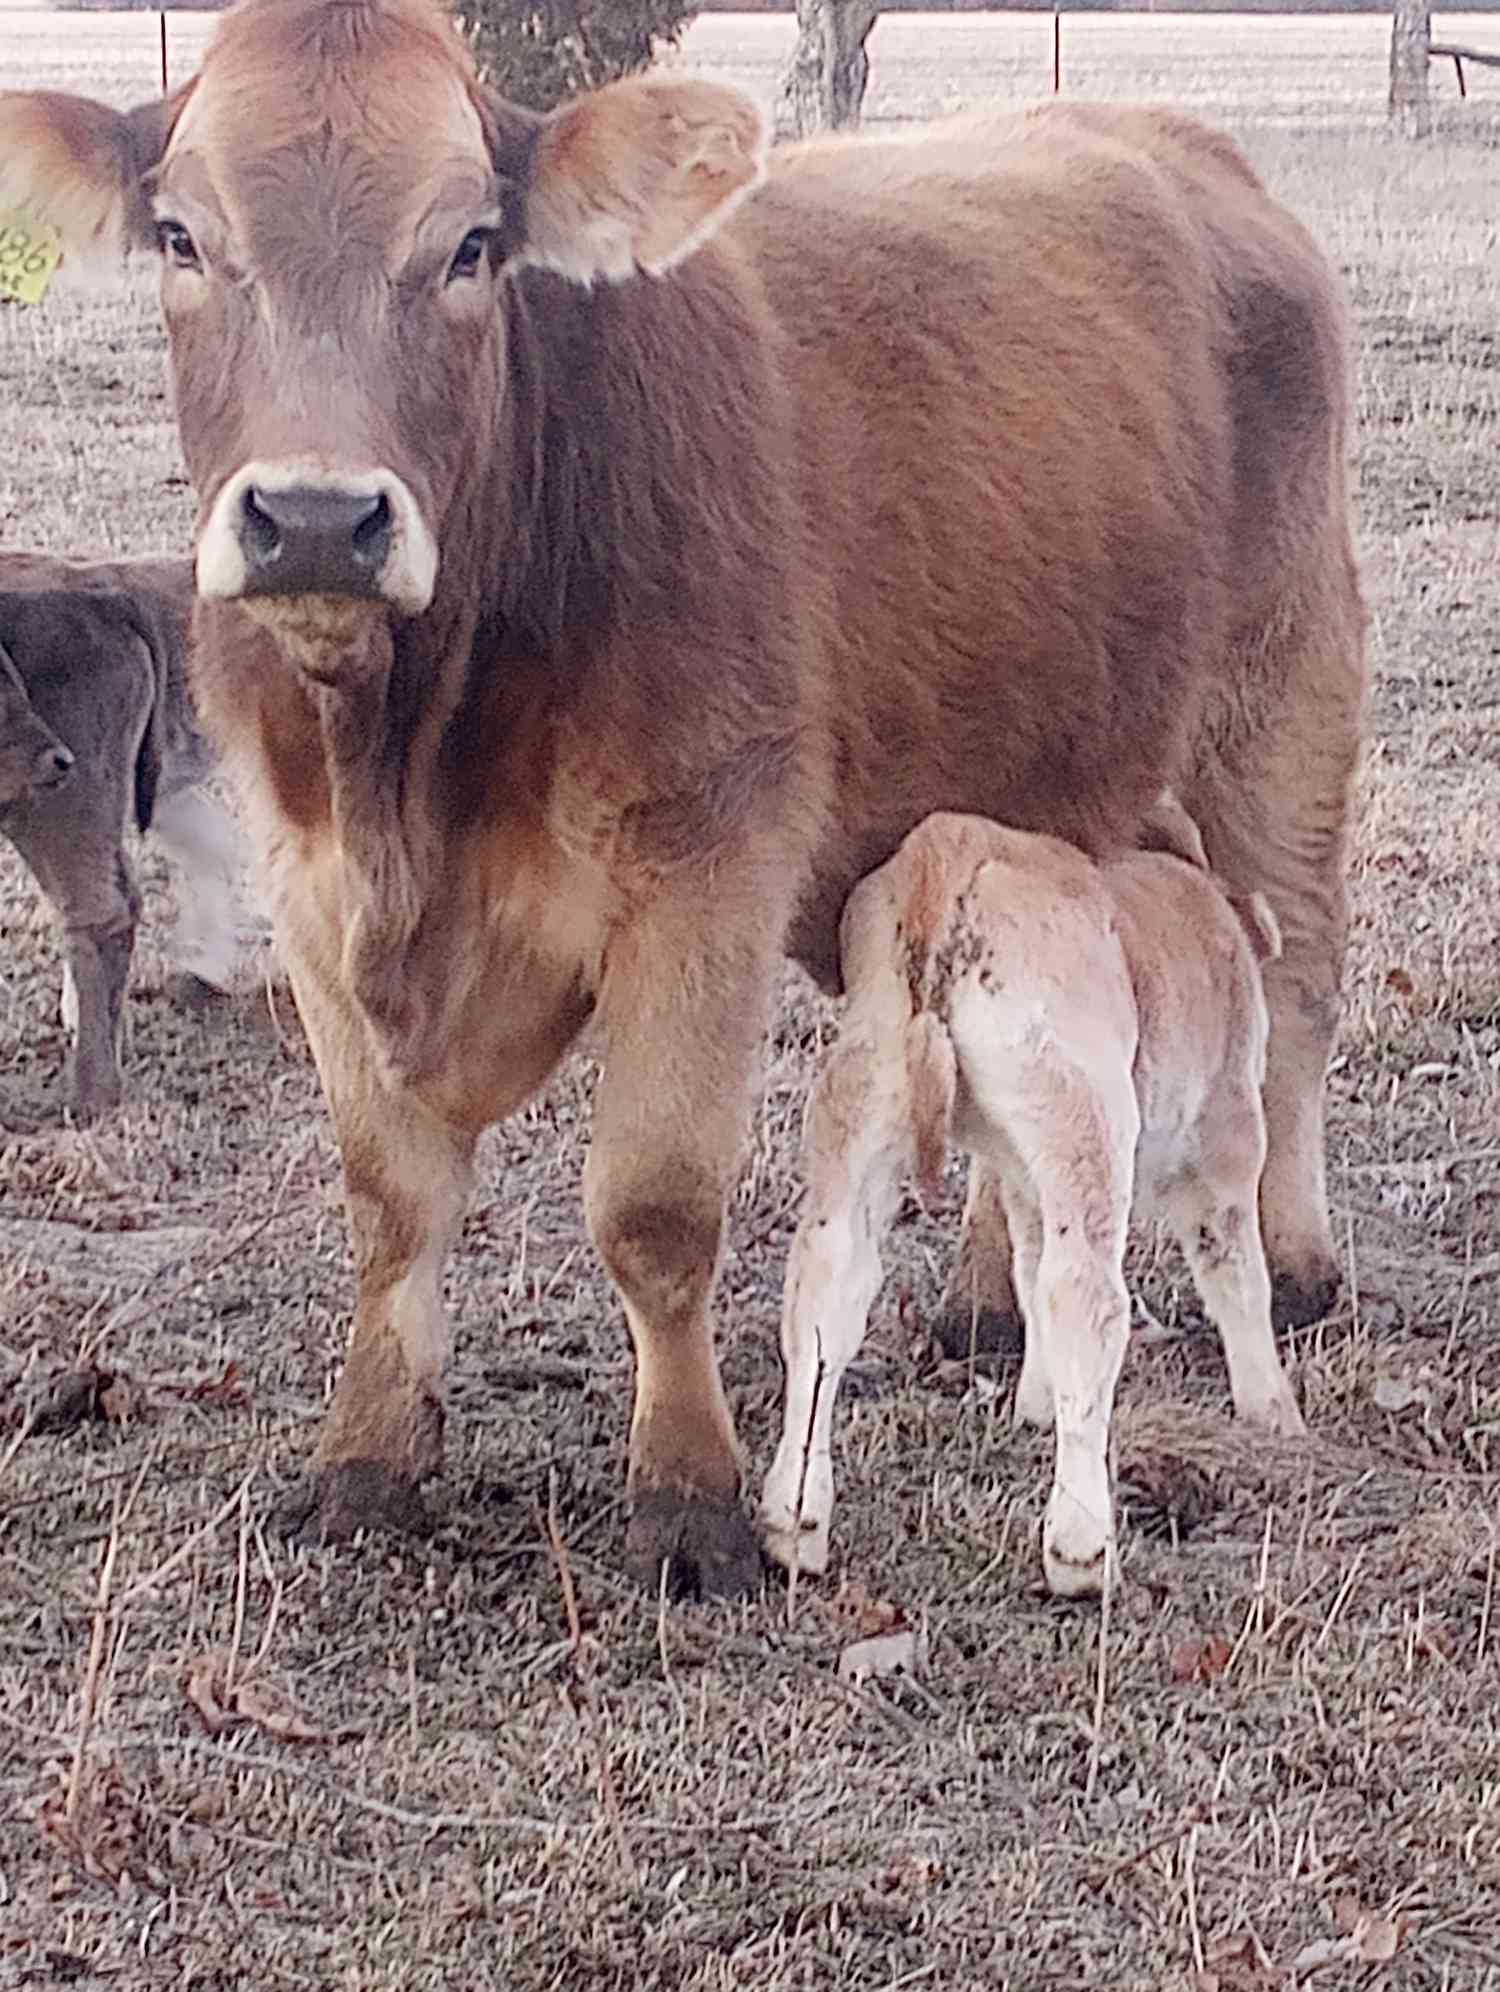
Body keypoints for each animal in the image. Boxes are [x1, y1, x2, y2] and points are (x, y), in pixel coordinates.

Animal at [760, 808, 1298, 1601]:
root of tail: (946, 855)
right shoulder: (1225, 1132)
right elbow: (1234, 1269)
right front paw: (1274, 1412)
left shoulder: (1019, 1169)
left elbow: (1028, 1261)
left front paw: (1034, 1405)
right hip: (1088, 1116)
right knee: (1085, 1299)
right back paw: (1080, 1550)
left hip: (864, 1098)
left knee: (825, 1292)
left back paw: (794, 1520)